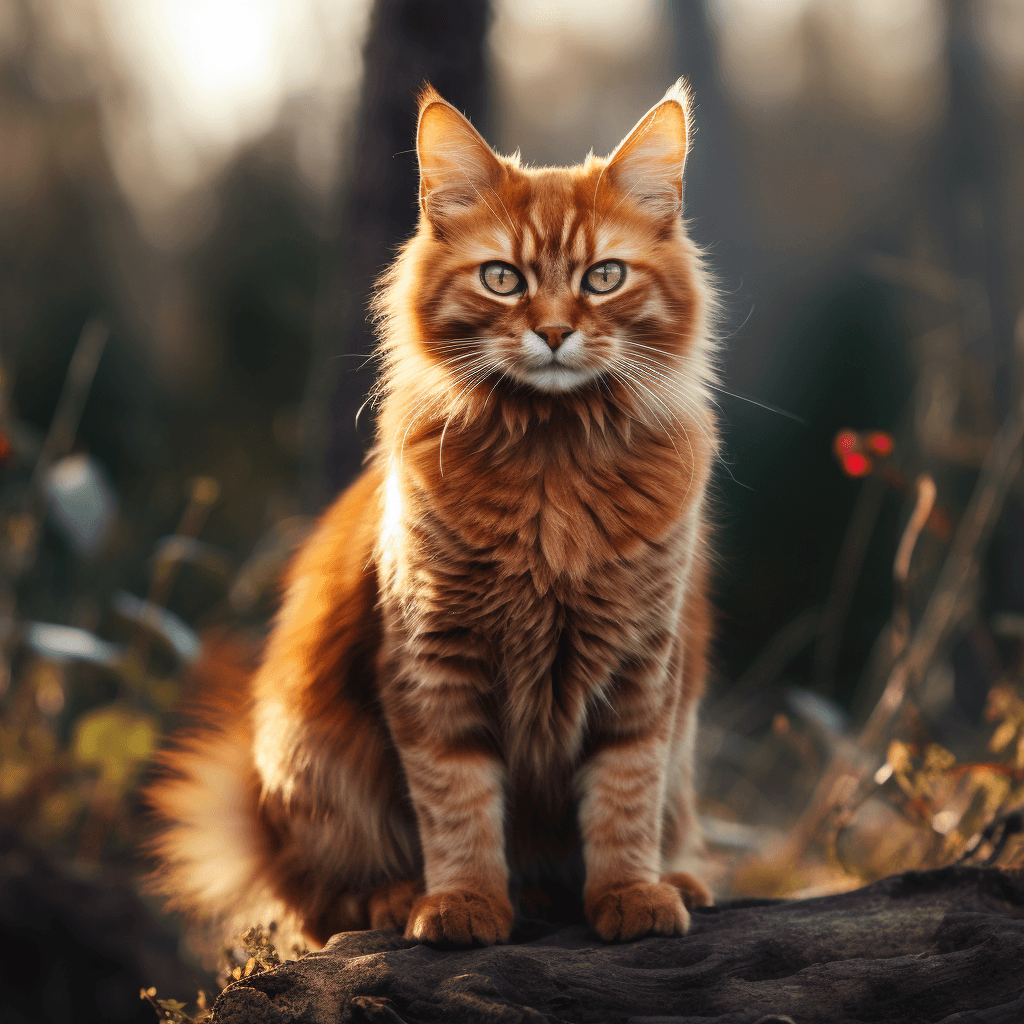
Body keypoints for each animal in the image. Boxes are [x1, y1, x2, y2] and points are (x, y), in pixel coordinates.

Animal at [144, 79, 720, 950]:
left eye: (604, 277)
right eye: (504, 279)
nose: (555, 332)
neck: (552, 463)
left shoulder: (641, 671)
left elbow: (626, 798)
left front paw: (631, 894)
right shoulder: (433, 667)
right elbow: (459, 806)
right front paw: (463, 905)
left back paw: (666, 880)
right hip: (311, 761)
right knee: (317, 898)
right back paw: (396, 897)